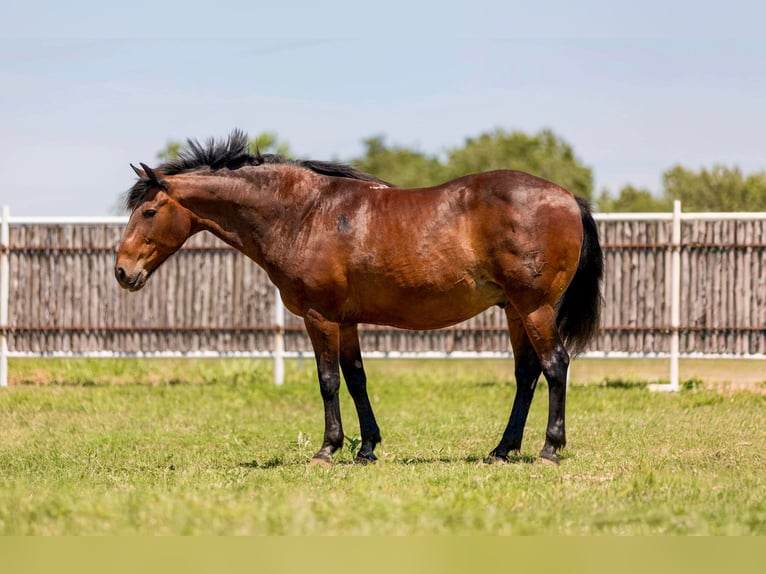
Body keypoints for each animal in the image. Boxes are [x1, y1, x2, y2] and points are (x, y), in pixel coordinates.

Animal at [115, 130, 603, 466]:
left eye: (149, 211)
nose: (122, 271)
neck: (303, 214)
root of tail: (567, 198)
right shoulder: (345, 320)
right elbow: (356, 379)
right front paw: (366, 448)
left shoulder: (319, 316)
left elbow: (328, 380)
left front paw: (327, 449)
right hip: (515, 311)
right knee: (526, 374)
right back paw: (502, 449)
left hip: (535, 308)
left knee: (555, 365)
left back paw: (549, 449)